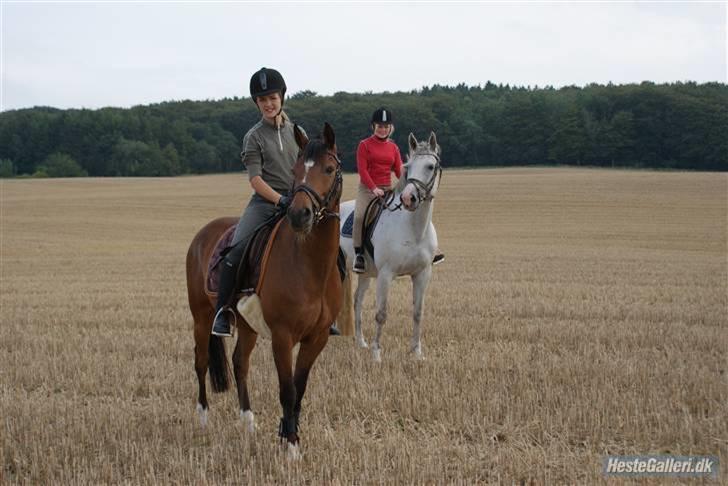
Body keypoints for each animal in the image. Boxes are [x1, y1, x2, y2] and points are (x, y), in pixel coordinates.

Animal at [182, 121, 342, 456]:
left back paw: (248, 421)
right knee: (201, 361)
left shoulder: (317, 338)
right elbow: (287, 390)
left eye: (330, 168)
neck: (310, 266)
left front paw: (289, 434)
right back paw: (203, 418)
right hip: (201, 317)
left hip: (246, 324)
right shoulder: (282, 336)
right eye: (296, 170)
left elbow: (299, 388)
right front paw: (291, 447)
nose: (299, 215)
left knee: (239, 362)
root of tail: (203, 233)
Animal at [338, 132, 440, 360]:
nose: (409, 198)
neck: (413, 229)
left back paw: (361, 342)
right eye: (408, 167)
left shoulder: (422, 274)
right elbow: (381, 314)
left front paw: (417, 352)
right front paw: (377, 354)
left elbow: (417, 313)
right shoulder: (386, 274)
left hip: (365, 273)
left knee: (357, 300)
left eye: (430, 166)